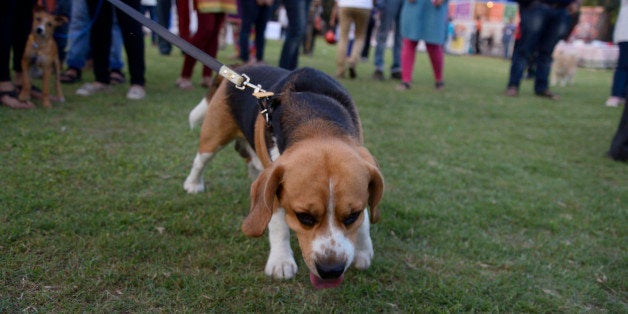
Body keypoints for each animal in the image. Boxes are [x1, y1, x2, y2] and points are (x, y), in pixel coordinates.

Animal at [183, 64, 382, 290]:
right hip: (214, 136)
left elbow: (365, 220)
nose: (331, 271)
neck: (317, 122)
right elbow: (278, 226)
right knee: (200, 161)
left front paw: (363, 250)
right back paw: (192, 184)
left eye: (351, 216)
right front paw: (281, 261)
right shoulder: (276, 187)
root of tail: (240, 68)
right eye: (304, 216)